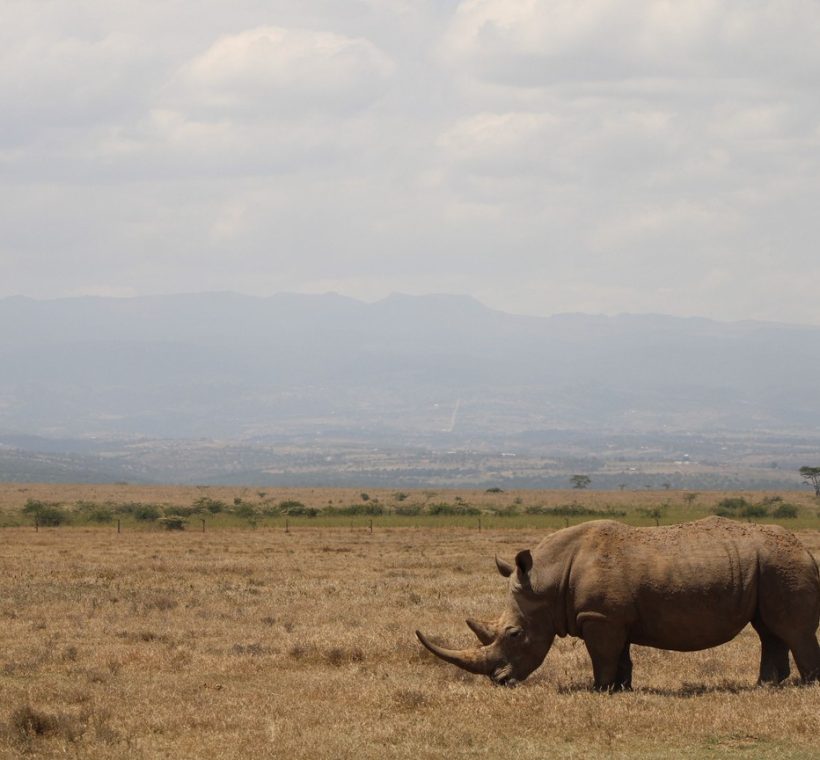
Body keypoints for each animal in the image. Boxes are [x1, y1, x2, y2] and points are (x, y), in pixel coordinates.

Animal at [416, 517, 820, 690]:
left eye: (514, 634)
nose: (499, 681)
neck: (547, 580)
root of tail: (806, 549)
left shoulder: (600, 617)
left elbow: (604, 656)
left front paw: (599, 690)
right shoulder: (612, 616)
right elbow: (621, 655)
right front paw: (621, 689)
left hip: (783, 565)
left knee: (792, 630)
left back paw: (806, 686)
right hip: (769, 567)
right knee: (769, 629)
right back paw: (767, 686)